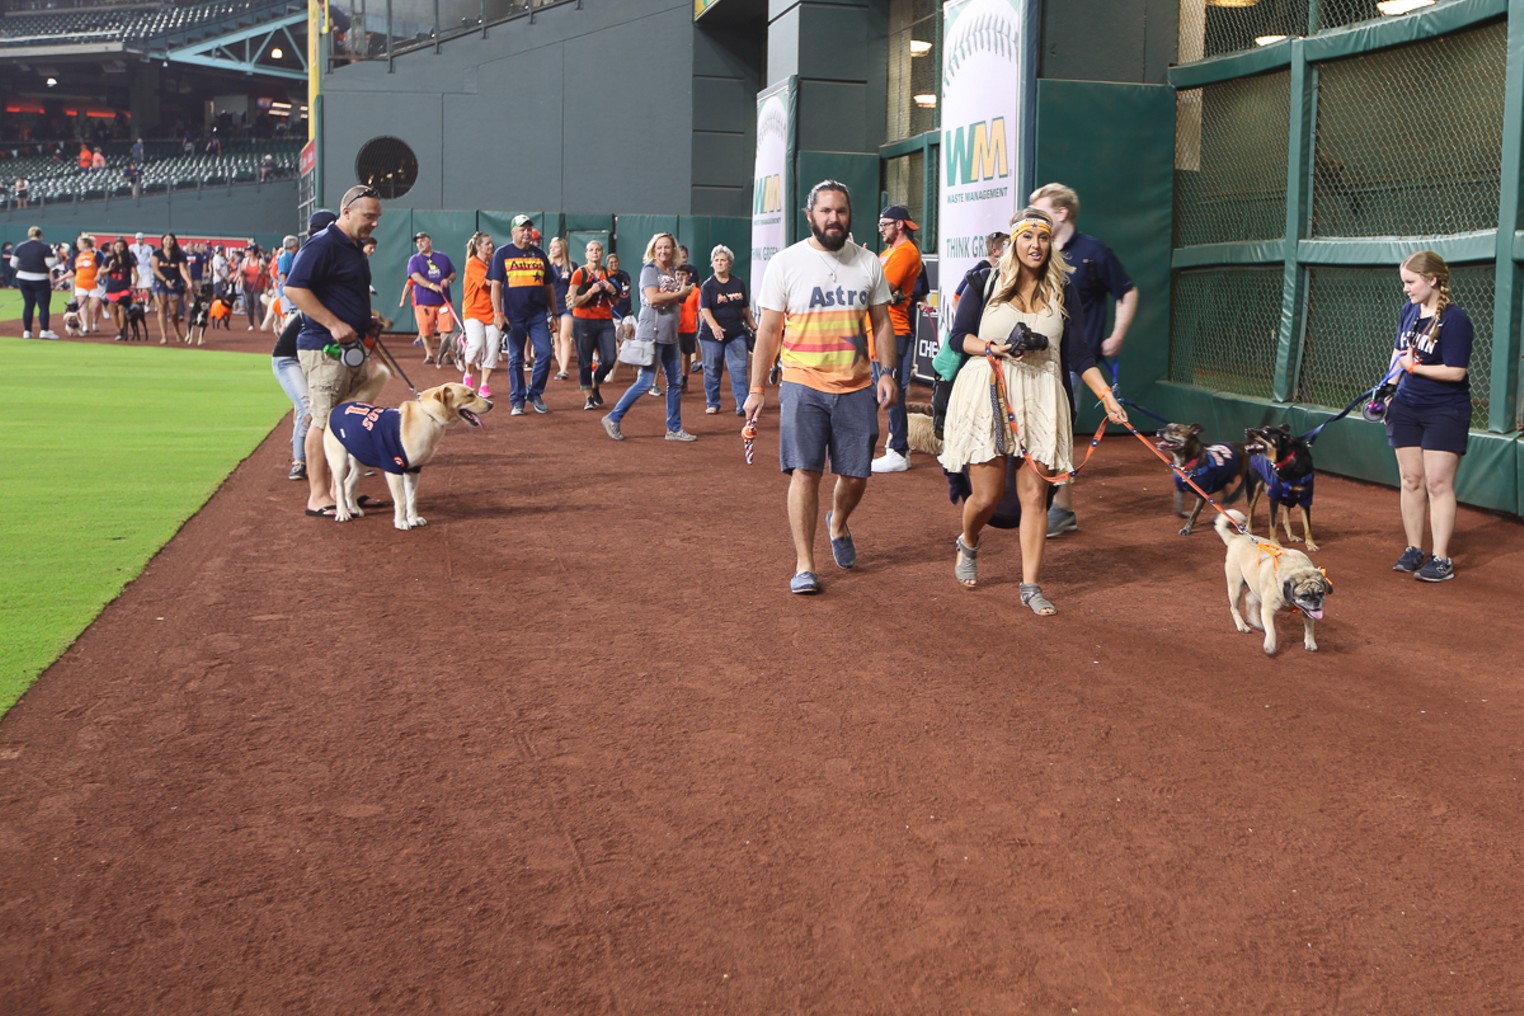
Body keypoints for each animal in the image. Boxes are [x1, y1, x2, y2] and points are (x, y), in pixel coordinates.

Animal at [324, 380, 490, 533]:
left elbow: (412, 498)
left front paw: (414, 519)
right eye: (469, 395)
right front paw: (401, 522)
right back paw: (343, 512)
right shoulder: (394, 470)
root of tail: (339, 406)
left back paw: (354, 508)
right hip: (339, 460)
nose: (491, 404)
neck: (429, 416)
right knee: (339, 486)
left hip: (362, 460)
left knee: (349, 483)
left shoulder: (414, 470)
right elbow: (402, 500)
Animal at [1213, 508, 1335, 661]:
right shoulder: (1268, 609)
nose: (1316, 602)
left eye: (1320, 593)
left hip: (1255, 587)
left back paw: (1256, 622)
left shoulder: (1308, 613)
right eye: (1304, 595)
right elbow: (1272, 630)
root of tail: (1235, 538)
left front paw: (1310, 642)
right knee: (1234, 608)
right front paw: (1270, 644)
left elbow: (1309, 628)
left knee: (1250, 598)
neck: (1296, 569)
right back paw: (1242, 625)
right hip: (1236, 587)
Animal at [1243, 429, 1316, 557]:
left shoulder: (1306, 499)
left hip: (1289, 499)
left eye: (1265, 432)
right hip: (1254, 488)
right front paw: (1275, 542)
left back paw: (1291, 536)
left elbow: (1308, 526)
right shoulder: (1274, 497)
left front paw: (1311, 544)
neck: (1287, 461)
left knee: (1285, 519)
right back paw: (1248, 529)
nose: (1246, 430)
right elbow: (1273, 524)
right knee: (1251, 510)